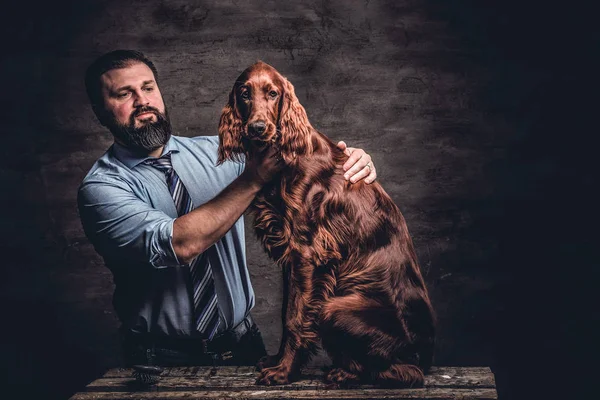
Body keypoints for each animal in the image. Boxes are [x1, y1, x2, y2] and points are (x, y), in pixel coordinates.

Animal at [218, 62, 434, 388]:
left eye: (273, 93)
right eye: (244, 94)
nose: (257, 127)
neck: (288, 157)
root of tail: (427, 353)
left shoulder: (308, 253)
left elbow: (296, 317)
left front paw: (284, 371)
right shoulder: (292, 254)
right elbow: (287, 311)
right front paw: (278, 360)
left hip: (335, 308)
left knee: (405, 372)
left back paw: (345, 372)